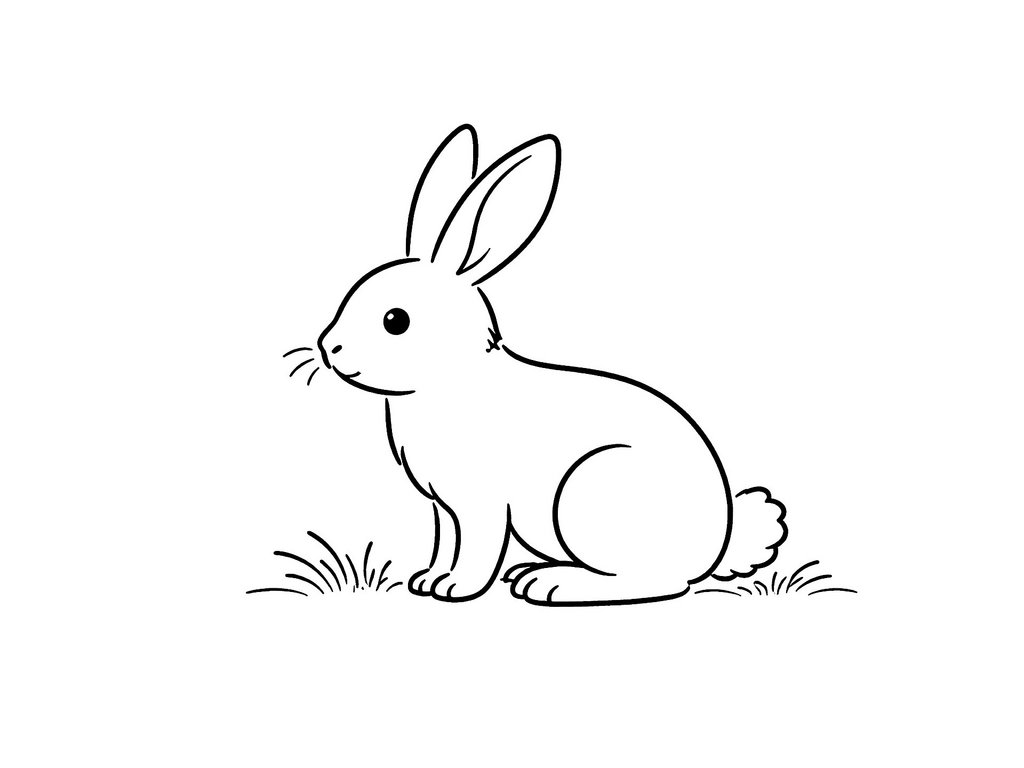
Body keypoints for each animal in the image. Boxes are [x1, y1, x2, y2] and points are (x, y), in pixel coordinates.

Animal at [315, 125, 787, 605]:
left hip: (595, 494)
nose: (328, 347)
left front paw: (455, 588)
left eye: (396, 320)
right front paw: (427, 581)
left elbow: (477, 549)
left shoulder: (480, 503)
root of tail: (719, 541)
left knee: (655, 582)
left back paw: (553, 585)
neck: (453, 380)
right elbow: (445, 543)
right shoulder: (443, 509)